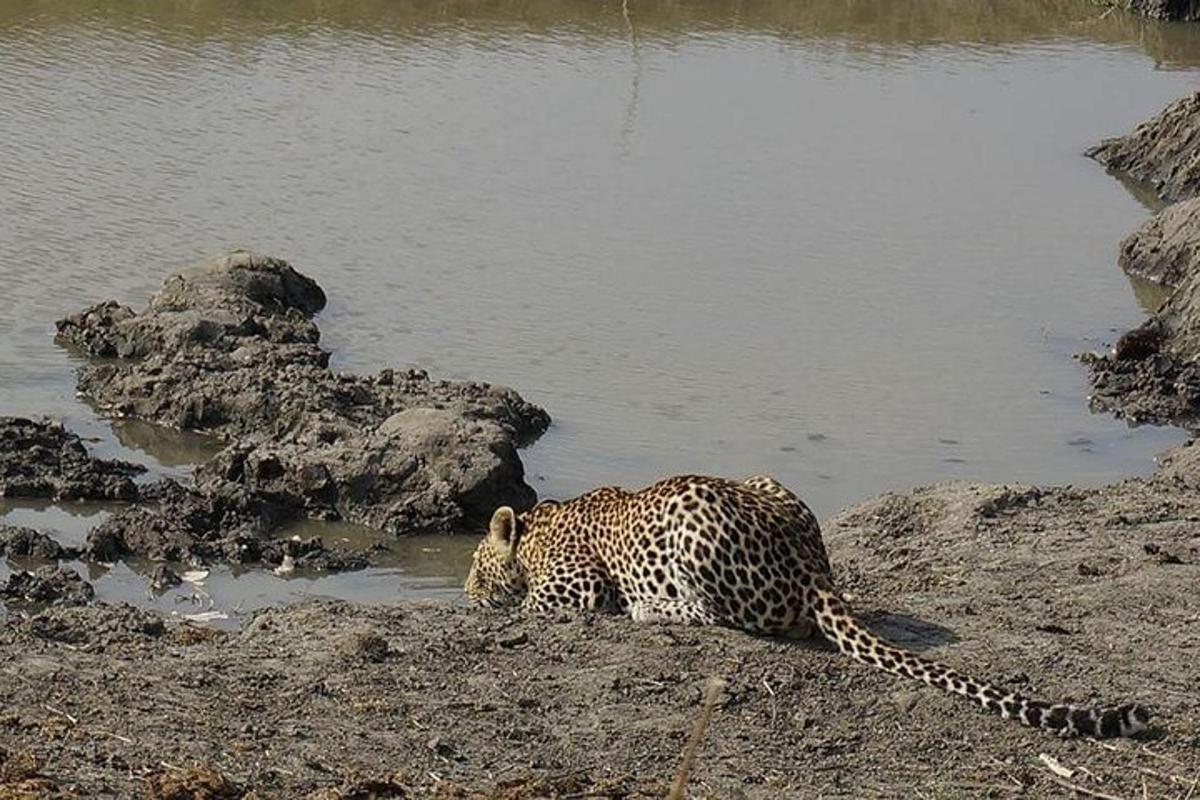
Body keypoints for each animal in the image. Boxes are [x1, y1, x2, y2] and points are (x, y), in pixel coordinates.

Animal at [463, 472, 1147, 743]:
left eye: (471, 564)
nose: (466, 590)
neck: (537, 528)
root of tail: (812, 563)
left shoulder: (577, 585)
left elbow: (531, 606)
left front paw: (490, 606)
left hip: (694, 525)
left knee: (722, 616)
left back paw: (651, 608)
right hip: (765, 478)